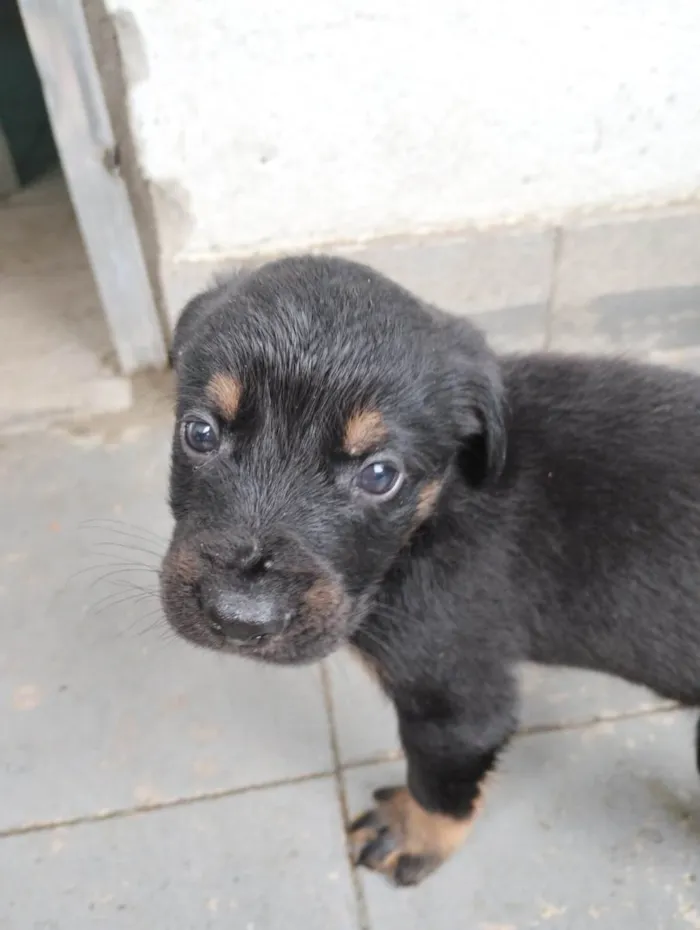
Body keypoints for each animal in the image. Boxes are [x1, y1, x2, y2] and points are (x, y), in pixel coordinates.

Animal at [161, 252, 700, 884]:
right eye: (200, 432)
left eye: (379, 475)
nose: (239, 620)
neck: (431, 516)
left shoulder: (455, 699)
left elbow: (438, 785)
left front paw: (412, 835)